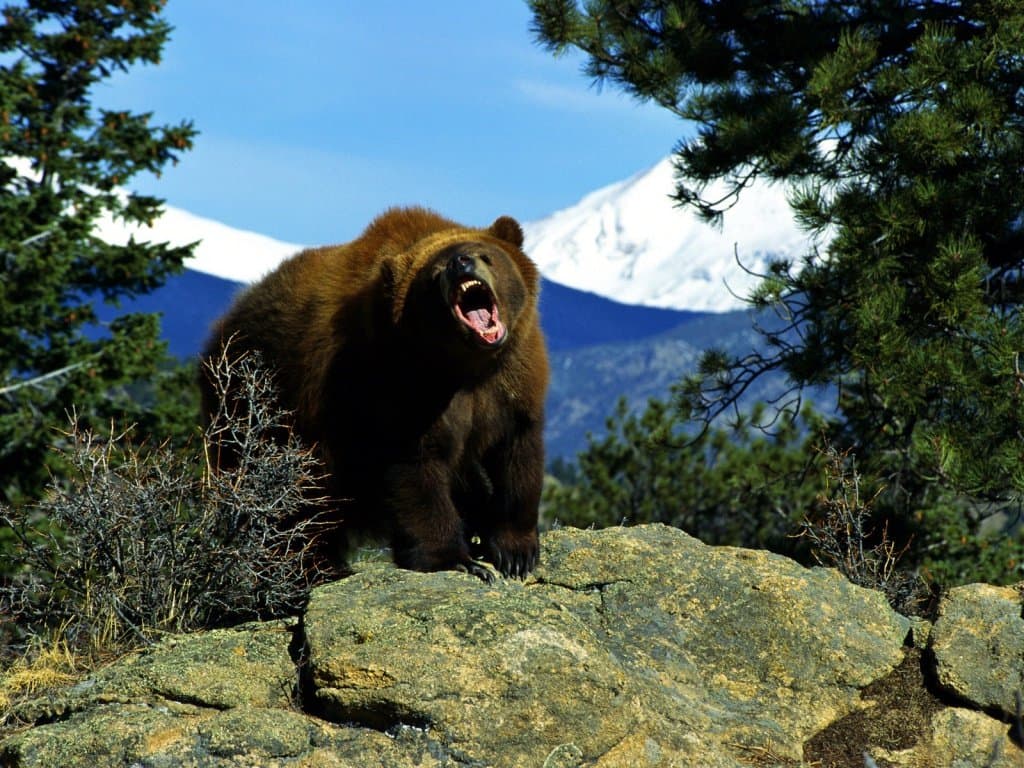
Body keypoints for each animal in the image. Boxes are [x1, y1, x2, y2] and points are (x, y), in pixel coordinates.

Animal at [201, 207, 552, 581]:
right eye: (435, 273)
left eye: (485, 255)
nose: (461, 262)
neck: (465, 364)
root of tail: (221, 327)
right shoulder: (394, 385)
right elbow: (415, 470)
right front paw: (455, 558)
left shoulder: (512, 381)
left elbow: (517, 456)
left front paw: (515, 552)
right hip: (261, 408)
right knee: (296, 500)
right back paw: (315, 565)